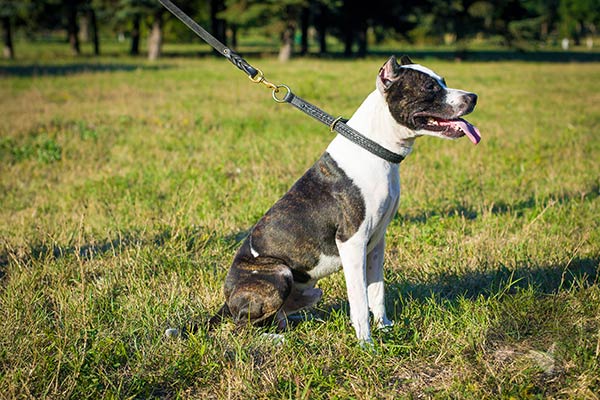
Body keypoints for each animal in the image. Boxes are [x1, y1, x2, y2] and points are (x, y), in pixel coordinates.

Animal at [209, 55, 480, 344]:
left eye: (443, 81)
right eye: (430, 87)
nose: (473, 97)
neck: (375, 148)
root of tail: (226, 301)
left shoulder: (376, 243)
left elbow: (377, 292)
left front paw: (385, 328)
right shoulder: (352, 242)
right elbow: (359, 299)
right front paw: (367, 344)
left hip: (311, 292)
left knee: (277, 317)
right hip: (278, 273)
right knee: (242, 328)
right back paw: (275, 338)